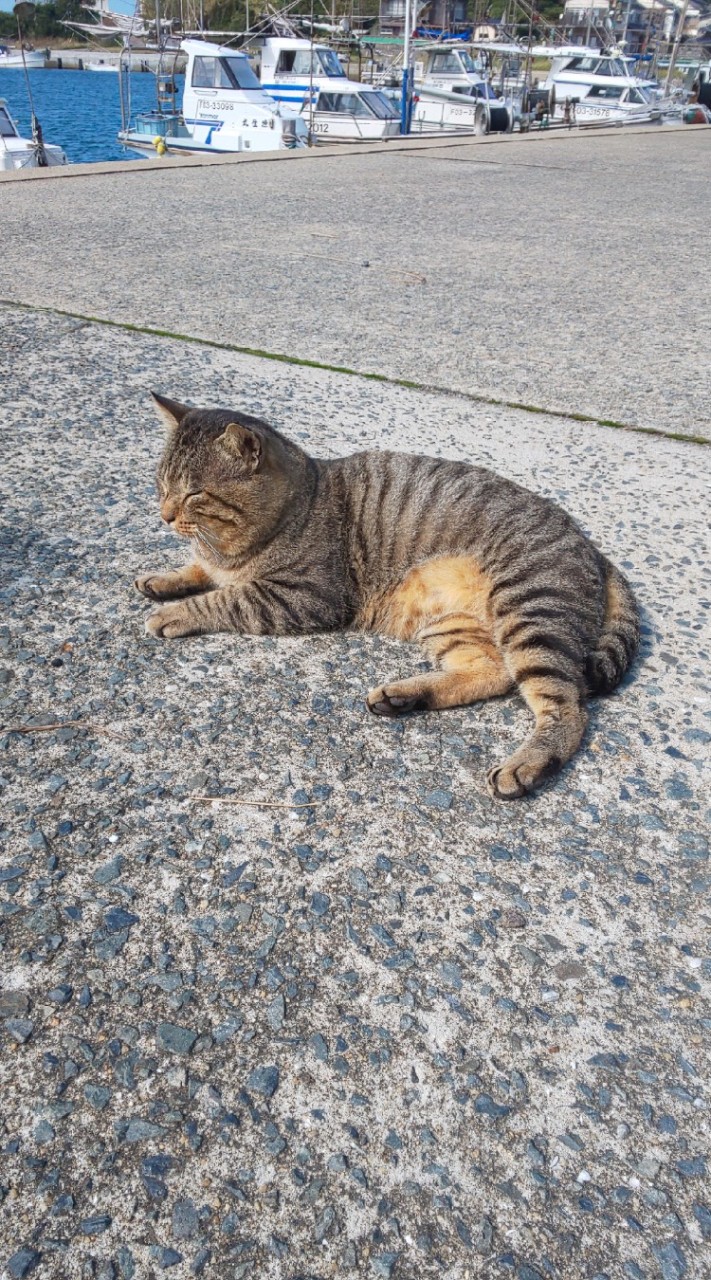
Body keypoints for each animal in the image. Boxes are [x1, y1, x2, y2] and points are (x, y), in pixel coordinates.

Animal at [133, 394, 640, 798]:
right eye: (161, 483)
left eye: (195, 493)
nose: (163, 514)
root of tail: (591, 545)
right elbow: (200, 570)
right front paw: (163, 578)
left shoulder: (304, 596)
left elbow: (225, 598)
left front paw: (174, 612)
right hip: (451, 623)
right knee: (494, 672)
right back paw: (405, 696)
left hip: (530, 610)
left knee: (566, 709)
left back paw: (526, 764)